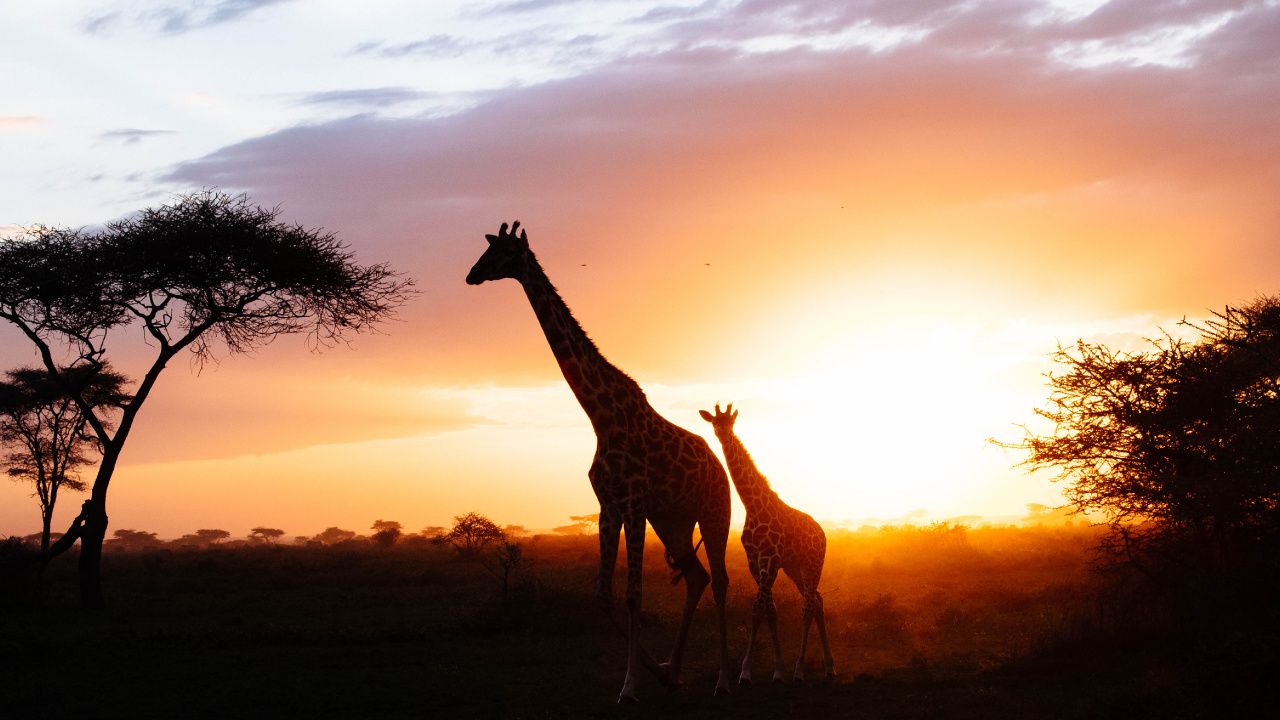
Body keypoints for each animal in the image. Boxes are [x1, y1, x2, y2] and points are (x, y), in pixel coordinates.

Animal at [467, 221, 734, 702]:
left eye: (504, 254)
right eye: (487, 250)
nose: (471, 275)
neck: (600, 415)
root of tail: (718, 467)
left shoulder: (633, 504)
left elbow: (633, 594)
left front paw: (629, 686)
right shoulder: (609, 507)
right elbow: (603, 594)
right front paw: (654, 671)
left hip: (712, 512)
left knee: (720, 581)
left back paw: (724, 679)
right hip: (673, 520)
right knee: (698, 577)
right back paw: (674, 671)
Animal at [699, 403, 835, 683]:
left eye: (730, 422)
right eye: (714, 422)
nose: (722, 434)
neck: (753, 507)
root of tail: (822, 533)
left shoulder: (771, 560)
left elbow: (757, 609)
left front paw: (746, 672)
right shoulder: (756, 562)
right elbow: (770, 611)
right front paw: (777, 669)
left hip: (813, 564)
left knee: (808, 606)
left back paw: (800, 670)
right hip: (796, 569)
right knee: (817, 601)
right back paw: (829, 667)